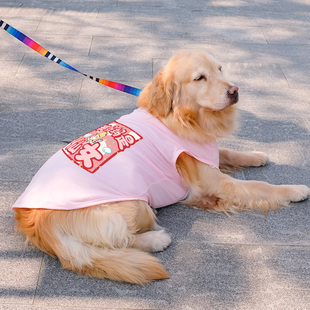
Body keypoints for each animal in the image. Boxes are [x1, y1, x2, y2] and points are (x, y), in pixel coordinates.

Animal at [13, 49, 310, 284]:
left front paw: (256, 155)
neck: (182, 116)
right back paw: (156, 240)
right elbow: (261, 186)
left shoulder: (206, 154)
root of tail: (36, 221)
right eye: (199, 78)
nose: (234, 90)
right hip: (135, 205)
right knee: (120, 241)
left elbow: (227, 151)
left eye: (220, 69)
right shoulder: (216, 182)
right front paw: (295, 189)